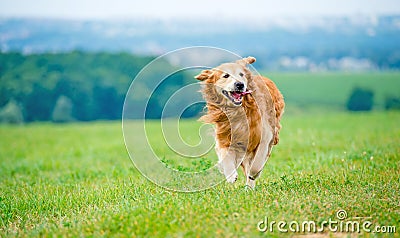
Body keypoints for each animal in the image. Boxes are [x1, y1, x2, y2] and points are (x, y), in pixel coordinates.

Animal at [195, 56, 284, 189]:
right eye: (226, 75)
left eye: (241, 74)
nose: (240, 84)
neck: (237, 112)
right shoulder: (224, 137)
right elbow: (226, 157)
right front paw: (231, 175)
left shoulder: (265, 135)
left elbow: (257, 161)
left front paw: (254, 173)